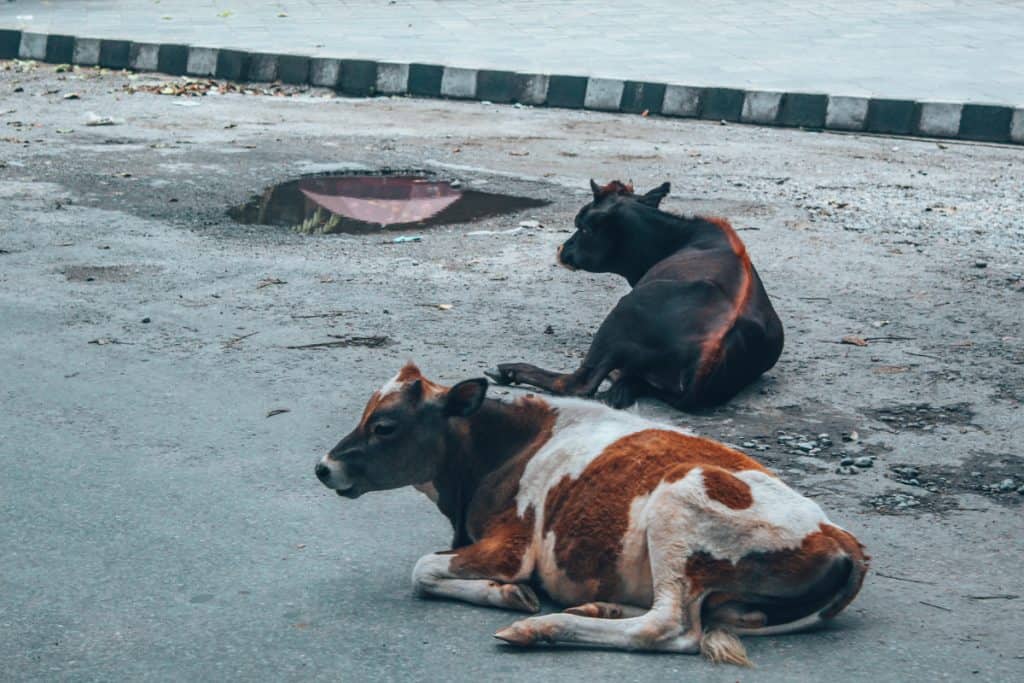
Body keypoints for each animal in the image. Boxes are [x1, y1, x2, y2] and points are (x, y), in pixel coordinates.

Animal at [315, 366, 868, 663]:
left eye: (384, 426)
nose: (323, 467)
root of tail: (838, 534)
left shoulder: (511, 547)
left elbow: (423, 571)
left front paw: (511, 595)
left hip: (680, 504)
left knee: (668, 626)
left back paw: (544, 628)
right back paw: (596, 609)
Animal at [487, 178, 782, 411]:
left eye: (584, 227)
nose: (561, 249)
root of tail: (713, 348)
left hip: (620, 314)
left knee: (578, 383)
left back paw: (508, 370)